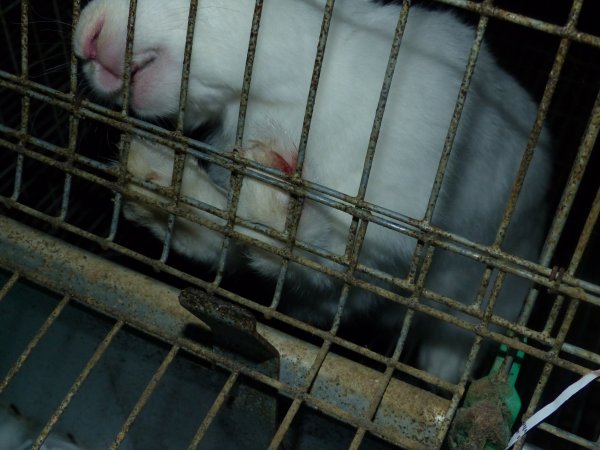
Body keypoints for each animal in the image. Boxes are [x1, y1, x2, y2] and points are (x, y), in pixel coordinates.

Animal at [75, 0, 552, 382]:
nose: (85, 41)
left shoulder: (388, 234)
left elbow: (323, 250)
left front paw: (268, 190)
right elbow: (231, 242)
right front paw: (150, 177)